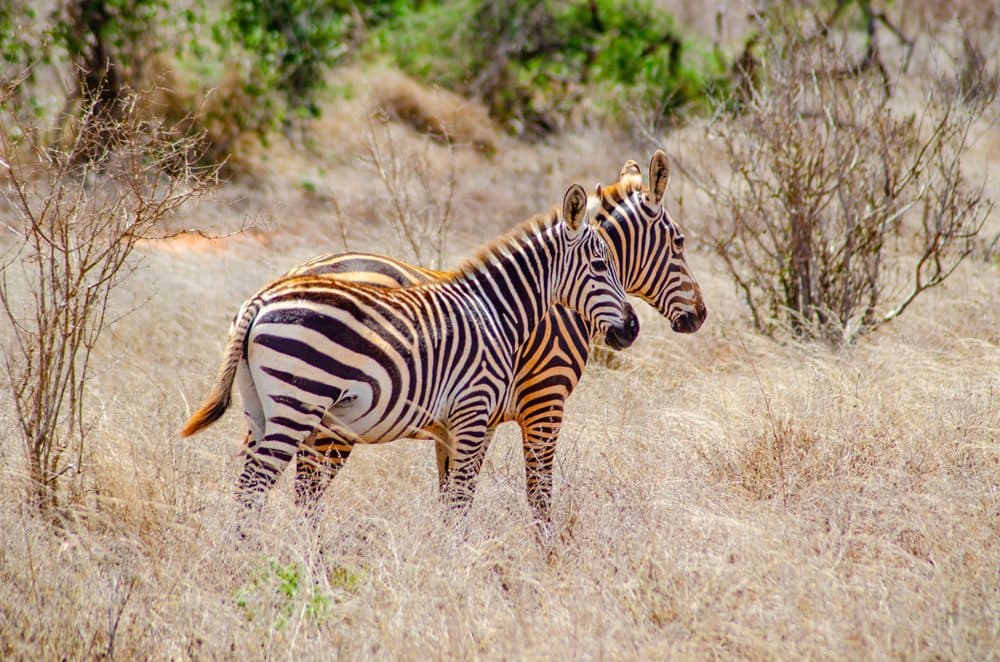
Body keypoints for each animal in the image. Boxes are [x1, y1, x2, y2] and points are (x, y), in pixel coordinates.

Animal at [180, 183, 639, 515]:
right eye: (601, 265)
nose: (632, 328)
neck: (496, 311)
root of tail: (261, 299)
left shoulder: (457, 424)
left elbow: (452, 498)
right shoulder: (474, 413)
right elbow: (461, 501)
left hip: (258, 404)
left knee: (247, 486)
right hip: (299, 401)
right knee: (258, 483)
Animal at [274, 150, 706, 534]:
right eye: (680, 242)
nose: (700, 316)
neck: (555, 299)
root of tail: (296, 272)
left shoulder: (479, 416)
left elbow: (454, 496)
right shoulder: (544, 403)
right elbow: (538, 495)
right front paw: (548, 558)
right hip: (333, 419)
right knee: (307, 492)